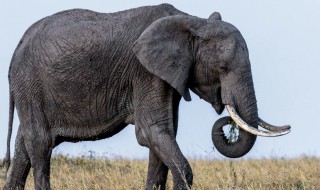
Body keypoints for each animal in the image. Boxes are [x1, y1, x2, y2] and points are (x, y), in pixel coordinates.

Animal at [0, 2, 290, 190]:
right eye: (222, 68)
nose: (226, 125)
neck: (191, 21)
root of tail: (18, 45)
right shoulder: (145, 72)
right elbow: (152, 131)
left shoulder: (167, 75)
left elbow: (164, 135)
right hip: (30, 82)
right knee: (40, 143)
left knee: (24, 144)